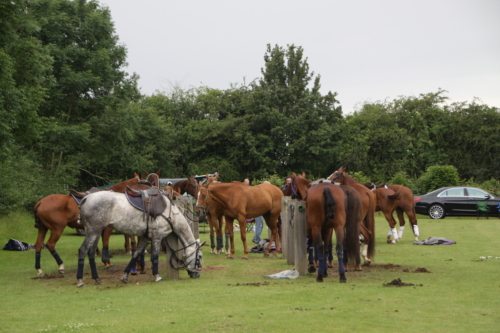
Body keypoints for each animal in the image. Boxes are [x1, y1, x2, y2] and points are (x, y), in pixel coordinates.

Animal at [76, 188, 205, 286]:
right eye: (199, 256)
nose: (197, 274)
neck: (171, 213)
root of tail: (86, 198)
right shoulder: (157, 236)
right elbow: (154, 257)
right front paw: (157, 276)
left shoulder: (145, 237)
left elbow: (136, 254)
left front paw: (125, 276)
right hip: (93, 231)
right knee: (83, 250)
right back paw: (80, 281)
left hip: (96, 232)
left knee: (91, 253)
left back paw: (97, 279)